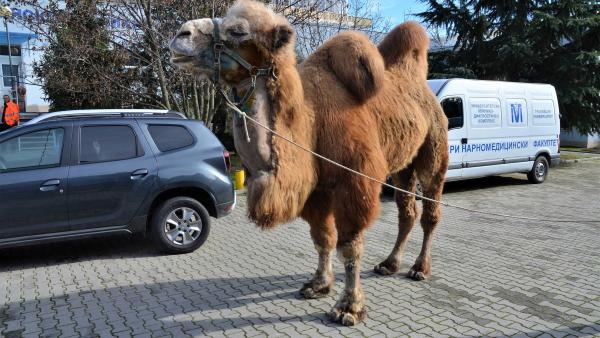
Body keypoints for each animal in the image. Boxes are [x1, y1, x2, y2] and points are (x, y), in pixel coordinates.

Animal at [169, 0, 446, 328]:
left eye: (238, 30)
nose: (181, 34)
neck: (308, 123)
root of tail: (425, 90)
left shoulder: (354, 182)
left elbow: (349, 246)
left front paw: (349, 308)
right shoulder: (317, 190)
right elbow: (323, 238)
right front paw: (318, 285)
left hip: (434, 153)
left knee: (430, 211)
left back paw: (420, 268)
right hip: (403, 166)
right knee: (407, 211)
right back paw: (389, 264)